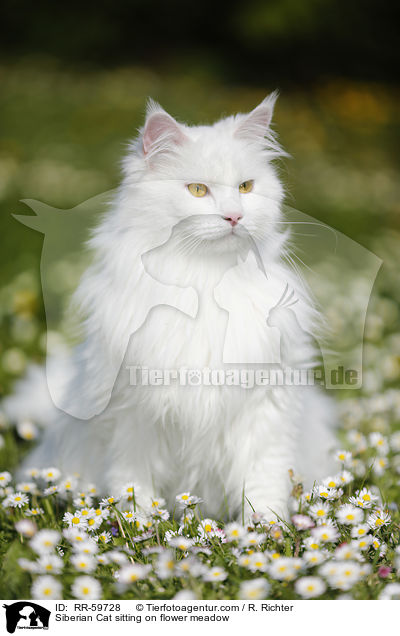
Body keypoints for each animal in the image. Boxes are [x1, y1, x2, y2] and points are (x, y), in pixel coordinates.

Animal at [7, 94, 338, 520]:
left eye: (246, 187)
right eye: (197, 190)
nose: (235, 216)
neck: (206, 283)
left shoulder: (267, 407)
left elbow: (263, 480)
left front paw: (265, 528)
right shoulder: (132, 413)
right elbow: (133, 484)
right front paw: (141, 524)